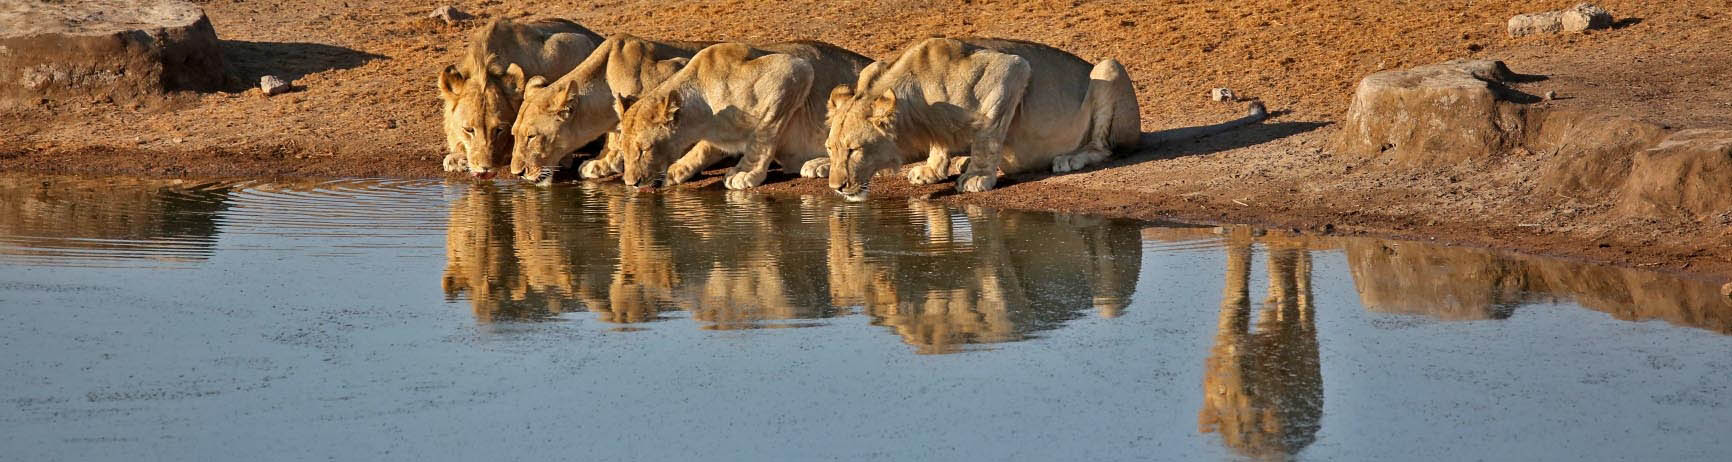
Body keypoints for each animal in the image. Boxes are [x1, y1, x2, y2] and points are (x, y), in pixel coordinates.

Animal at [505, 34, 713, 185]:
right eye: (514, 135)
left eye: (531, 137)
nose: (517, 173)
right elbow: (614, 139)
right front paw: (602, 162)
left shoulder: (676, 67)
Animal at [613, 41, 872, 190]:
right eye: (623, 150)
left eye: (644, 150)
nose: (631, 183)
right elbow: (703, 148)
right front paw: (677, 169)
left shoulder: (792, 72)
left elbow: (764, 134)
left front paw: (745, 173)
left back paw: (819, 164)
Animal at [824, 38, 1274, 198]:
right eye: (830, 149)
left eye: (854, 150)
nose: (836, 187)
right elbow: (942, 144)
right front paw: (934, 169)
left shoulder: (1009, 70)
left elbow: (990, 131)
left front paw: (977, 177)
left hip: (1108, 68)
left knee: (1106, 148)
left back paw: (1070, 159)